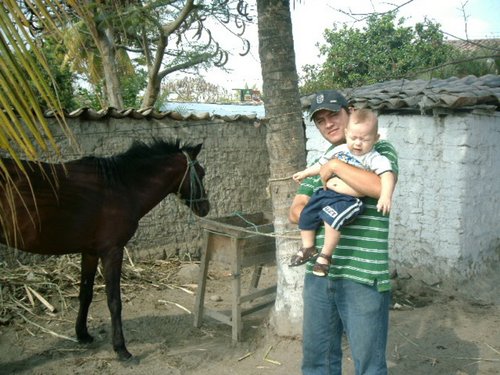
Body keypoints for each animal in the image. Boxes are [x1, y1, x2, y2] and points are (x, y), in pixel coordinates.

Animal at [0, 140, 210, 362]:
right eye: (202, 173)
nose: (206, 208)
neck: (122, 187)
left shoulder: (90, 252)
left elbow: (86, 294)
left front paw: (82, 334)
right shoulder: (112, 252)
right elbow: (114, 301)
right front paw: (121, 348)